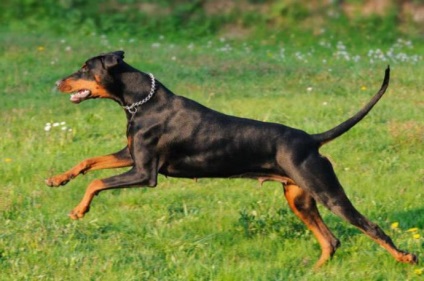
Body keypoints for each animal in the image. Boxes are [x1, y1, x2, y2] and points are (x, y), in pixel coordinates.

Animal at [46, 50, 418, 266]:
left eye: (84, 68)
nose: (56, 82)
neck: (140, 101)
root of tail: (311, 140)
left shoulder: (145, 173)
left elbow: (96, 180)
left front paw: (79, 210)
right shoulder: (130, 155)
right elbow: (90, 162)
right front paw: (57, 179)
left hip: (327, 191)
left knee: (370, 227)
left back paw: (406, 257)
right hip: (299, 199)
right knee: (331, 241)